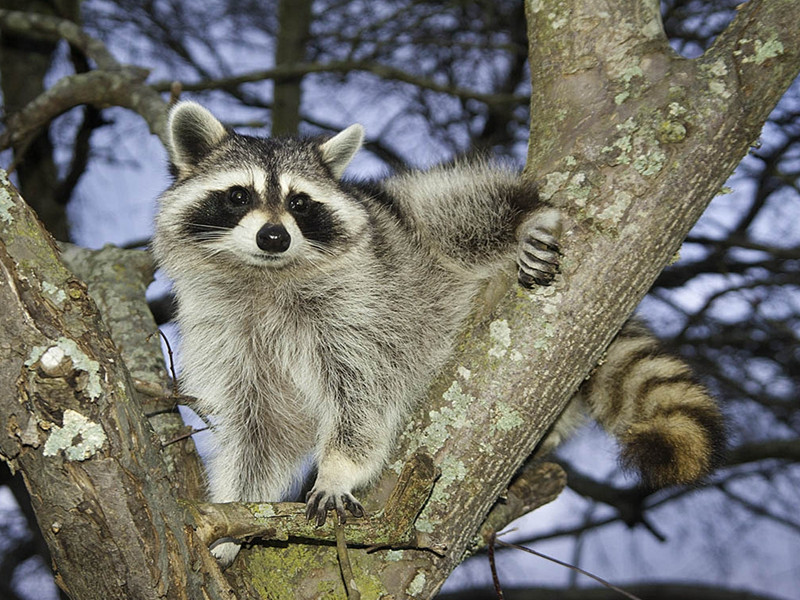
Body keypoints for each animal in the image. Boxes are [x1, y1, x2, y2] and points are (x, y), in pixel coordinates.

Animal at [152, 101, 724, 564]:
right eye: (238, 195)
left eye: (299, 203)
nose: (274, 237)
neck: (265, 276)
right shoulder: (227, 332)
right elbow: (260, 428)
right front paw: (235, 516)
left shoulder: (361, 305)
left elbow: (365, 393)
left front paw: (337, 469)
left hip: (411, 221)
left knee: (455, 209)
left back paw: (526, 217)